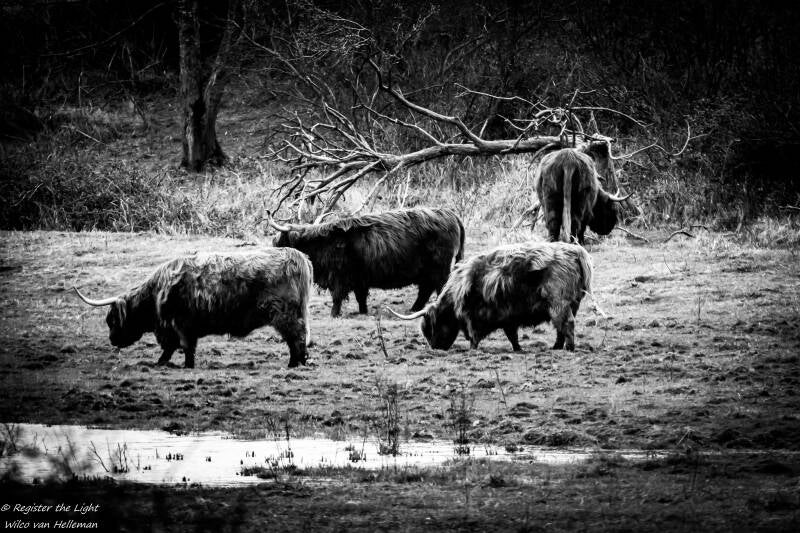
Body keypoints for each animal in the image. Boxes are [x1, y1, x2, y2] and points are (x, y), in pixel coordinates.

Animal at [73, 248, 313, 368]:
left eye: (112, 320)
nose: (112, 340)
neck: (156, 295)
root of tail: (298, 256)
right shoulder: (176, 327)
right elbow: (172, 348)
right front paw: (161, 363)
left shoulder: (181, 324)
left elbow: (185, 347)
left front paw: (186, 366)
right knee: (298, 337)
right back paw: (299, 362)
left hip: (285, 314)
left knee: (296, 338)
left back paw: (294, 364)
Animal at [269, 207, 465, 317]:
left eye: (280, 241)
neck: (323, 245)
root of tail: (451, 215)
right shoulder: (359, 278)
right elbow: (360, 297)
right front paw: (363, 312)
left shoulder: (340, 276)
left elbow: (337, 297)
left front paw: (334, 314)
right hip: (428, 270)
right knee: (426, 289)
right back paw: (413, 309)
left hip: (439, 268)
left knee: (439, 287)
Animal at [387, 241, 593, 352]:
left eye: (430, 328)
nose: (436, 349)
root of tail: (577, 252)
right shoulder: (509, 317)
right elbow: (512, 336)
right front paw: (518, 349)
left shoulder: (473, 316)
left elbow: (474, 335)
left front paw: (472, 350)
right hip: (571, 304)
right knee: (561, 327)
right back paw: (557, 347)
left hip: (558, 303)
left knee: (566, 323)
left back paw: (568, 348)